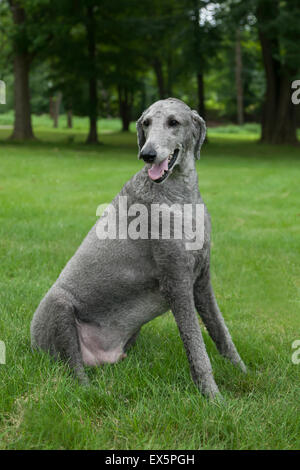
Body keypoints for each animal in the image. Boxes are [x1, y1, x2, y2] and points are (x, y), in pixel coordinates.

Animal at [31, 98, 246, 396]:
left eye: (173, 122)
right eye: (146, 123)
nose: (147, 154)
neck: (181, 196)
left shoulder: (201, 280)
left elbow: (221, 333)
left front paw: (243, 372)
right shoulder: (177, 283)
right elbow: (197, 347)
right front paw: (213, 398)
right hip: (59, 306)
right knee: (75, 372)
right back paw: (90, 391)